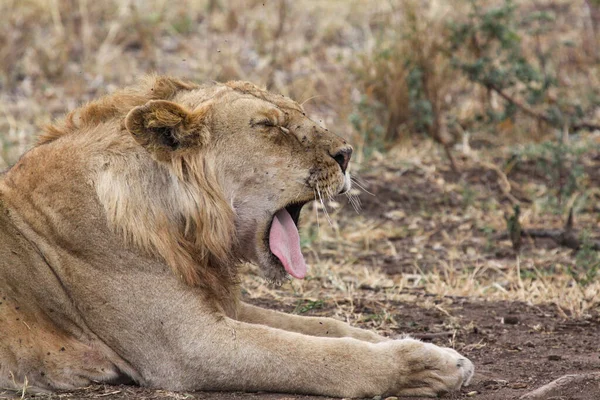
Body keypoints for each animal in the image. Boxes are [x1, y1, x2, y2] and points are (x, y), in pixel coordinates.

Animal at [0, 76, 474, 396]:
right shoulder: (186, 345)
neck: (185, 230)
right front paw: (423, 366)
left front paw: (429, 348)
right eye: (269, 126)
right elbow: (315, 353)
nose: (347, 154)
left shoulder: (222, 306)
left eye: (300, 115)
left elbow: (327, 326)